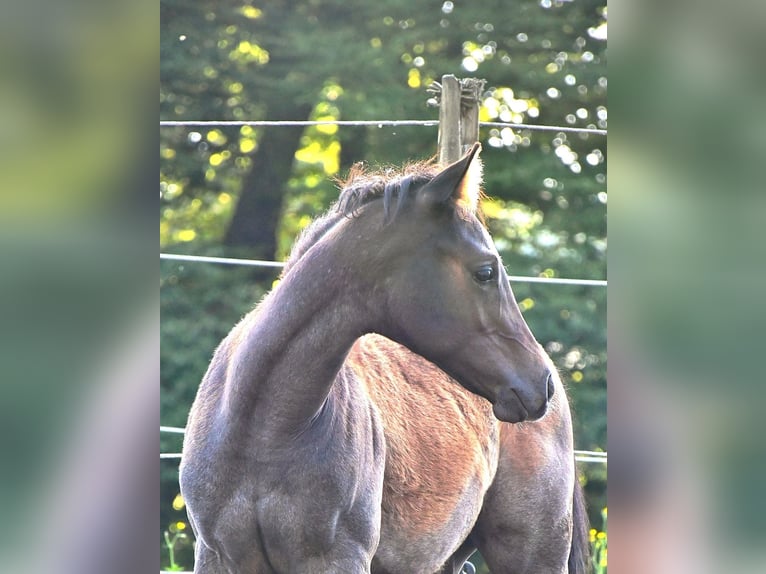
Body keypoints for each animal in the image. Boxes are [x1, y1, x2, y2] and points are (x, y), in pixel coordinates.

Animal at [179, 142, 590, 573]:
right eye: (486, 271)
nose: (538, 381)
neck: (263, 430)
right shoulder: (217, 556)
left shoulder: (338, 559)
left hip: (532, 554)